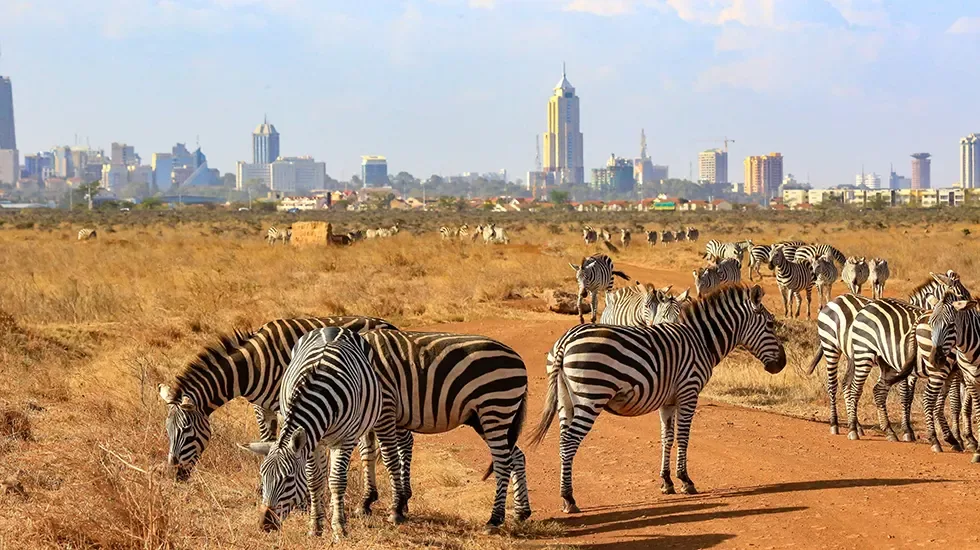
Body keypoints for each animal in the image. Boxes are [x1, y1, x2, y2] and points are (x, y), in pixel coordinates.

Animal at [157, 316, 397, 481]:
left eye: (187, 430)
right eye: (168, 431)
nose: (175, 474)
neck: (252, 366)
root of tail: (389, 324)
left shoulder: (284, 405)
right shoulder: (262, 407)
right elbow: (267, 441)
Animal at [242, 327, 381, 539]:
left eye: (289, 479)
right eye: (262, 477)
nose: (265, 525)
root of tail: (332, 328)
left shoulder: (345, 439)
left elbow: (337, 481)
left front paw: (339, 528)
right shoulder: (311, 441)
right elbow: (314, 480)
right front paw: (315, 526)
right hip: (320, 442)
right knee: (323, 473)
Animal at [358, 330, 531, 528]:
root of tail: (518, 358)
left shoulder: (385, 407)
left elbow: (389, 458)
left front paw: (395, 509)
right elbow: (367, 454)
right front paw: (366, 502)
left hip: (495, 408)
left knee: (503, 461)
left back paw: (494, 519)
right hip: (485, 418)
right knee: (516, 456)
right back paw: (521, 512)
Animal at [527, 285, 786, 512]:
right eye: (770, 324)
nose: (782, 365)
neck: (701, 341)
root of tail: (566, 341)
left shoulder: (668, 401)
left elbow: (667, 438)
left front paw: (666, 482)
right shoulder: (688, 392)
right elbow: (683, 438)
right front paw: (685, 481)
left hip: (566, 400)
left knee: (563, 441)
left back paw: (566, 496)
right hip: (591, 396)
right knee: (570, 441)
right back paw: (569, 499)